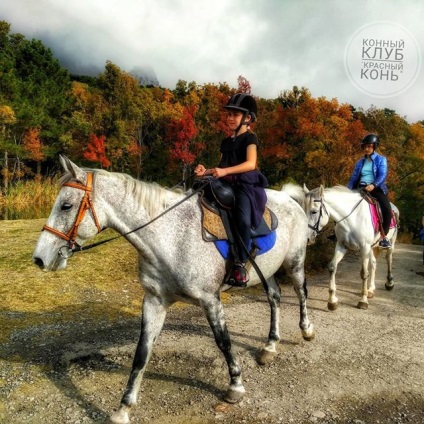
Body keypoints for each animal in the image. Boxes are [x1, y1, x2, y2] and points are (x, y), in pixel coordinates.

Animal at [33, 157, 314, 424]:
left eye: (66, 206)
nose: (39, 259)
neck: (170, 239)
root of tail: (289, 198)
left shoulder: (210, 300)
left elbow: (224, 342)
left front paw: (235, 386)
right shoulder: (154, 301)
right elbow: (142, 353)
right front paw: (124, 409)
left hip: (295, 262)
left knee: (300, 293)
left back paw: (306, 330)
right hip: (267, 270)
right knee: (274, 297)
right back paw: (270, 346)